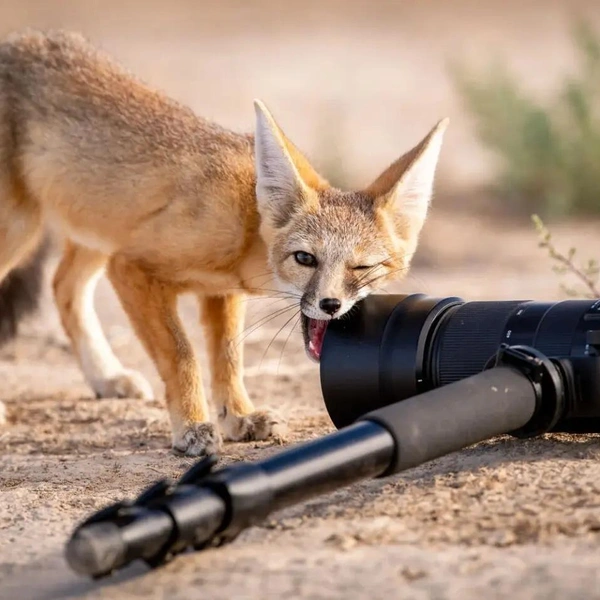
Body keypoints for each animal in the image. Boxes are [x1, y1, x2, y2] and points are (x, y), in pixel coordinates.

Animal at [0, 30, 448, 458]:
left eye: (362, 267)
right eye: (305, 258)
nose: (331, 305)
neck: (247, 224)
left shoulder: (220, 291)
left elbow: (228, 358)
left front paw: (239, 417)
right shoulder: (132, 268)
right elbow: (183, 354)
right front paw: (192, 428)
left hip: (97, 230)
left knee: (63, 287)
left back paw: (106, 376)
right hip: (23, 232)